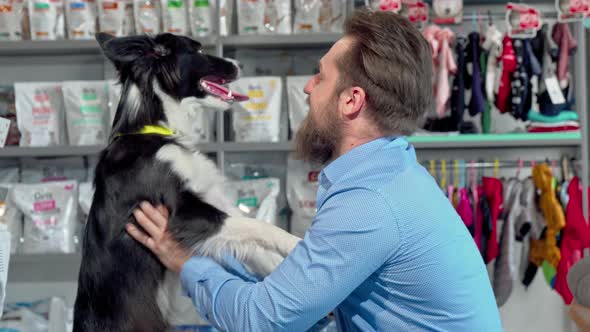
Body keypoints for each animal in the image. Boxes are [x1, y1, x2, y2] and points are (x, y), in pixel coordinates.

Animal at [75, 33, 300, 332]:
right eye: (199, 51)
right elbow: (260, 226)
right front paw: (296, 244)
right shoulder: (183, 213)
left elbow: (253, 241)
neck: (157, 129)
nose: (239, 64)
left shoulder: (210, 200)